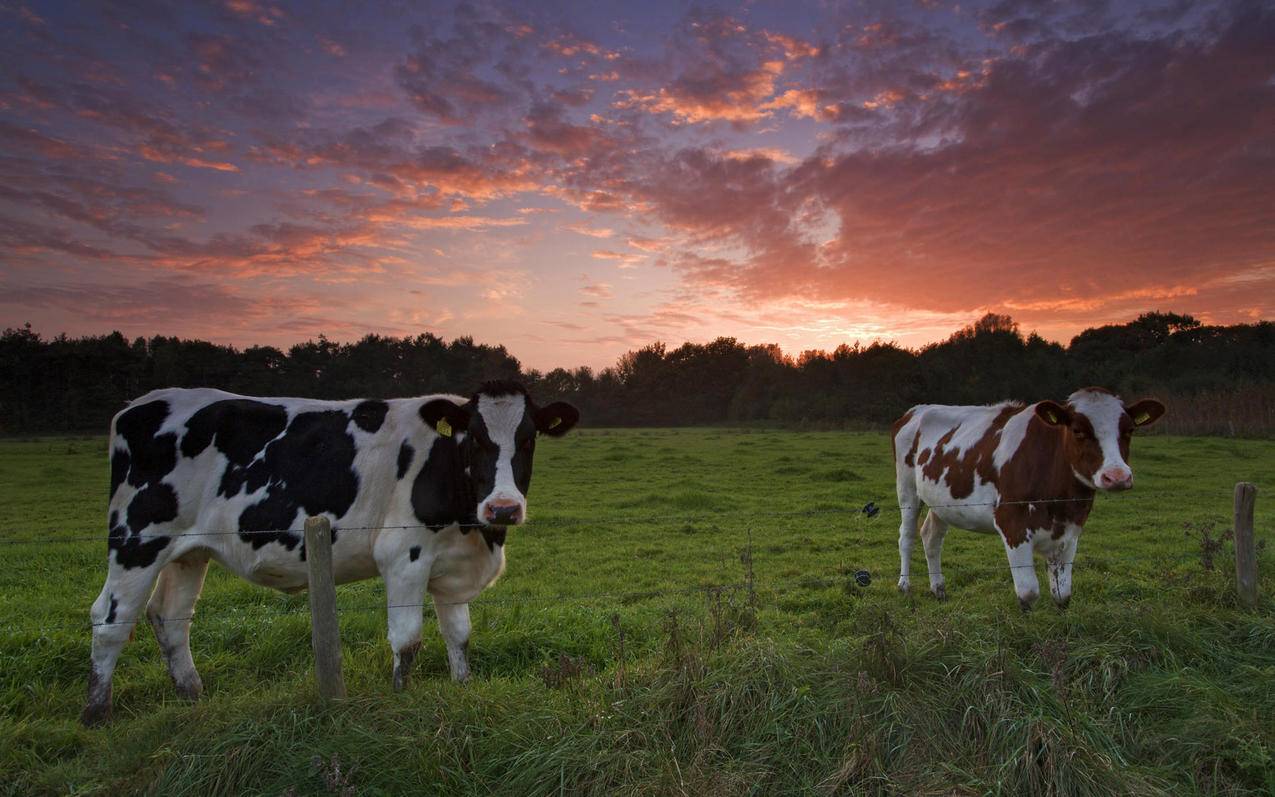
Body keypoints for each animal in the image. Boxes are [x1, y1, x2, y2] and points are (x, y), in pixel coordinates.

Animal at [89, 382, 583, 724]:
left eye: (528, 439)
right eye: (474, 439)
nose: (503, 507)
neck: (473, 527)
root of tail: (140, 404)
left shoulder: (453, 566)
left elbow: (459, 636)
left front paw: (463, 690)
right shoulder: (404, 556)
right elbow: (407, 641)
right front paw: (400, 699)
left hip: (188, 551)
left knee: (169, 617)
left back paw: (192, 696)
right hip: (137, 539)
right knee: (111, 620)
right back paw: (96, 715)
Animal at [892, 387, 1167, 606]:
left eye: (1129, 430)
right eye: (1077, 430)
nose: (1117, 476)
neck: (1059, 501)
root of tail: (917, 409)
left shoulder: (1070, 531)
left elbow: (1062, 594)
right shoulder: (1012, 523)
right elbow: (1028, 593)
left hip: (941, 501)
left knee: (931, 537)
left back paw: (938, 588)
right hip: (907, 489)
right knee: (907, 536)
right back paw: (904, 585)